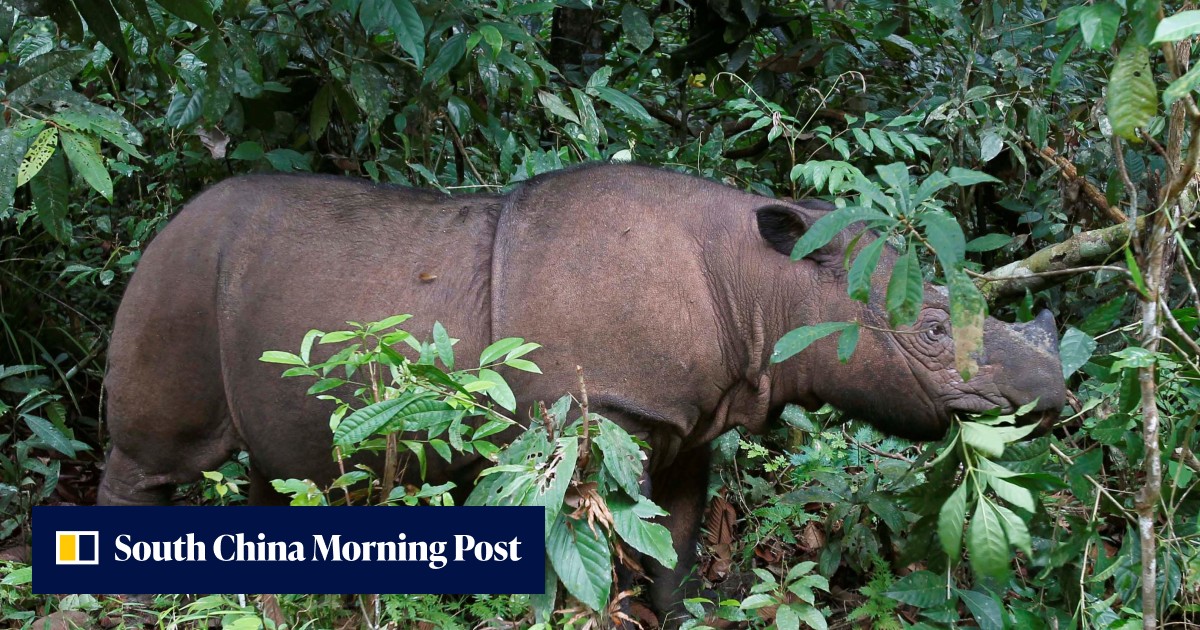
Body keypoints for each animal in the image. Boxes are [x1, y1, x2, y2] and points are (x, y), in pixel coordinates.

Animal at [100, 163, 1065, 615]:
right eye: (933, 333)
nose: (1052, 394)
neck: (765, 287)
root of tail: (166, 225)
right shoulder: (596, 412)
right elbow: (581, 538)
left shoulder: (688, 414)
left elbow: (673, 535)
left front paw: (679, 616)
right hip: (178, 272)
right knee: (153, 457)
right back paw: (122, 605)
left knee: (285, 470)